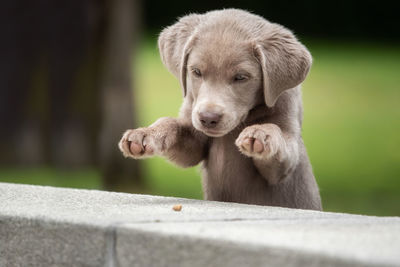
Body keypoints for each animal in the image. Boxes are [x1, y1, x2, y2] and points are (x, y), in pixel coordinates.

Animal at [118, 8, 322, 211]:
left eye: (241, 77)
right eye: (196, 72)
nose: (208, 118)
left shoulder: (284, 165)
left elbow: (277, 132)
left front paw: (260, 133)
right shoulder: (194, 141)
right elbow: (172, 125)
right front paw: (144, 134)